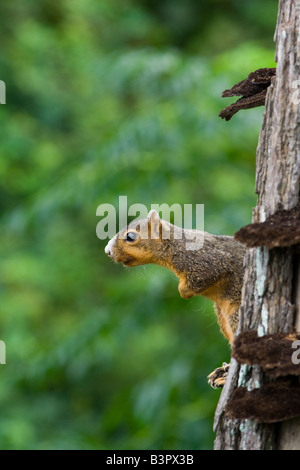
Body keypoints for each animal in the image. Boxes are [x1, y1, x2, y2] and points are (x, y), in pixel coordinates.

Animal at [104, 211, 245, 388]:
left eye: (130, 236)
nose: (107, 251)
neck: (175, 245)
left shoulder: (207, 261)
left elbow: (204, 277)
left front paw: (183, 291)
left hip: (235, 315)